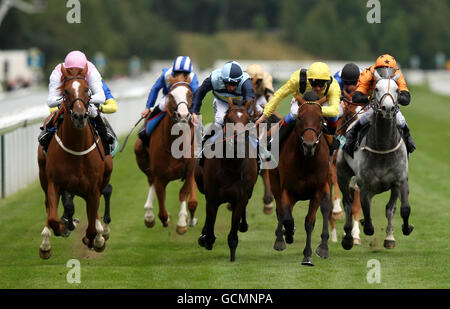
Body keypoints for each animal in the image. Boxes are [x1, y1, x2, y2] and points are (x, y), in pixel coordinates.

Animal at [37, 64, 113, 258]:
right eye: (65, 91)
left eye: (87, 90)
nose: (79, 116)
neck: (77, 149)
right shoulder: (54, 183)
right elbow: (53, 218)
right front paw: (63, 227)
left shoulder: (93, 188)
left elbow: (92, 226)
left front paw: (96, 238)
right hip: (43, 176)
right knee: (49, 206)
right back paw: (47, 241)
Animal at [134, 74, 197, 233]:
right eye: (171, 95)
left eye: (190, 94)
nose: (183, 115)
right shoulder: (160, 176)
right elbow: (162, 211)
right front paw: (163, 218)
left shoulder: (189, 170)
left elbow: (186, 196)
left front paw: (183, 222)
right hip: (141, 155)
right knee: (150, 180)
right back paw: (149, 215)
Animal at [196, 97, 258, 262]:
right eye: (228, 119)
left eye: (248, 119)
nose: (238, 140)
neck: (231, 166)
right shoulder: (212, 197)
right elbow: (210, 226)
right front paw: (205, 238)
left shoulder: (240, 197)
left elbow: (233, 233)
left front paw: (232, 256)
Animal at [268, 101, 332, 264]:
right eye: (299, 118)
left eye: (321, 118)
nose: (309, 145)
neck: (306, 162)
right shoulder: (287, 190)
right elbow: (287, 218)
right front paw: (288, 234)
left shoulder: (318, 191)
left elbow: (309, 222)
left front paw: (308, 255)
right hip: (275, 182)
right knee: (281, 210)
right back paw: (281, 239)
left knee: (325, 208)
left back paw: (323, 247)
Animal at [338, 68, 414, 249]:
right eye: (377, 89)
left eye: (397, 90)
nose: (388, 108)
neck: (383, 147)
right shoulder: (364, 185)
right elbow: (366, 214)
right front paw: (364, 227)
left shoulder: (400, 180)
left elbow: (401, 209)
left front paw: (402, 230)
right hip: (341, 173)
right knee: (348, 203)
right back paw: (348, 238)